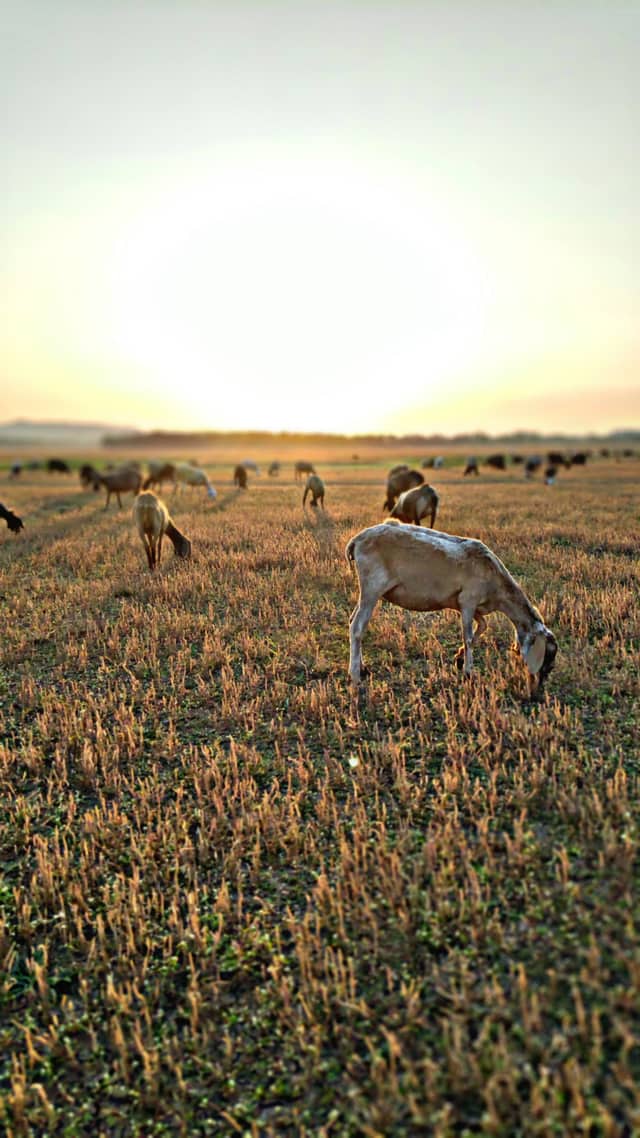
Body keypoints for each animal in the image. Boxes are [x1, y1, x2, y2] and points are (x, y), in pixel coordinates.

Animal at [346, 523, 557, 695]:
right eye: (545, 659)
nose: (536, 694)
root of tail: (356, 541)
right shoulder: (468, 601)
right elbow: (469, 637)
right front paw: (468, 672)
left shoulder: (473, 606)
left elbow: (483, 626)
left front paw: (459, 658)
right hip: (372, 587)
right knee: (357, 626)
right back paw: (355, 676)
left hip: (368, 592)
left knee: (352, 620)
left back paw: (362, 668)